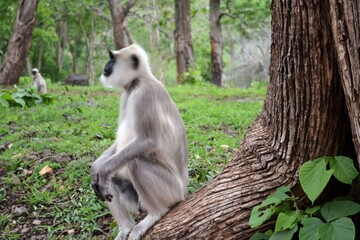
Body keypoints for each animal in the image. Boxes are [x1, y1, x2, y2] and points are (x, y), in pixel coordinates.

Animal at [90, 43, 188, 240]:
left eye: (112, 59)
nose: (105, 67)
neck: (138, 81)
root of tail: (184, 189)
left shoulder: (144, 94)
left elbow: (148, 141)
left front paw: (101, 169)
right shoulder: (125, 96)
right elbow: (116, 145)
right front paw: (96, 167)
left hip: (171, 189)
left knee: (134, 162)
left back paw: (155, 214)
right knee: (111, 178)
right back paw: (126, 228)